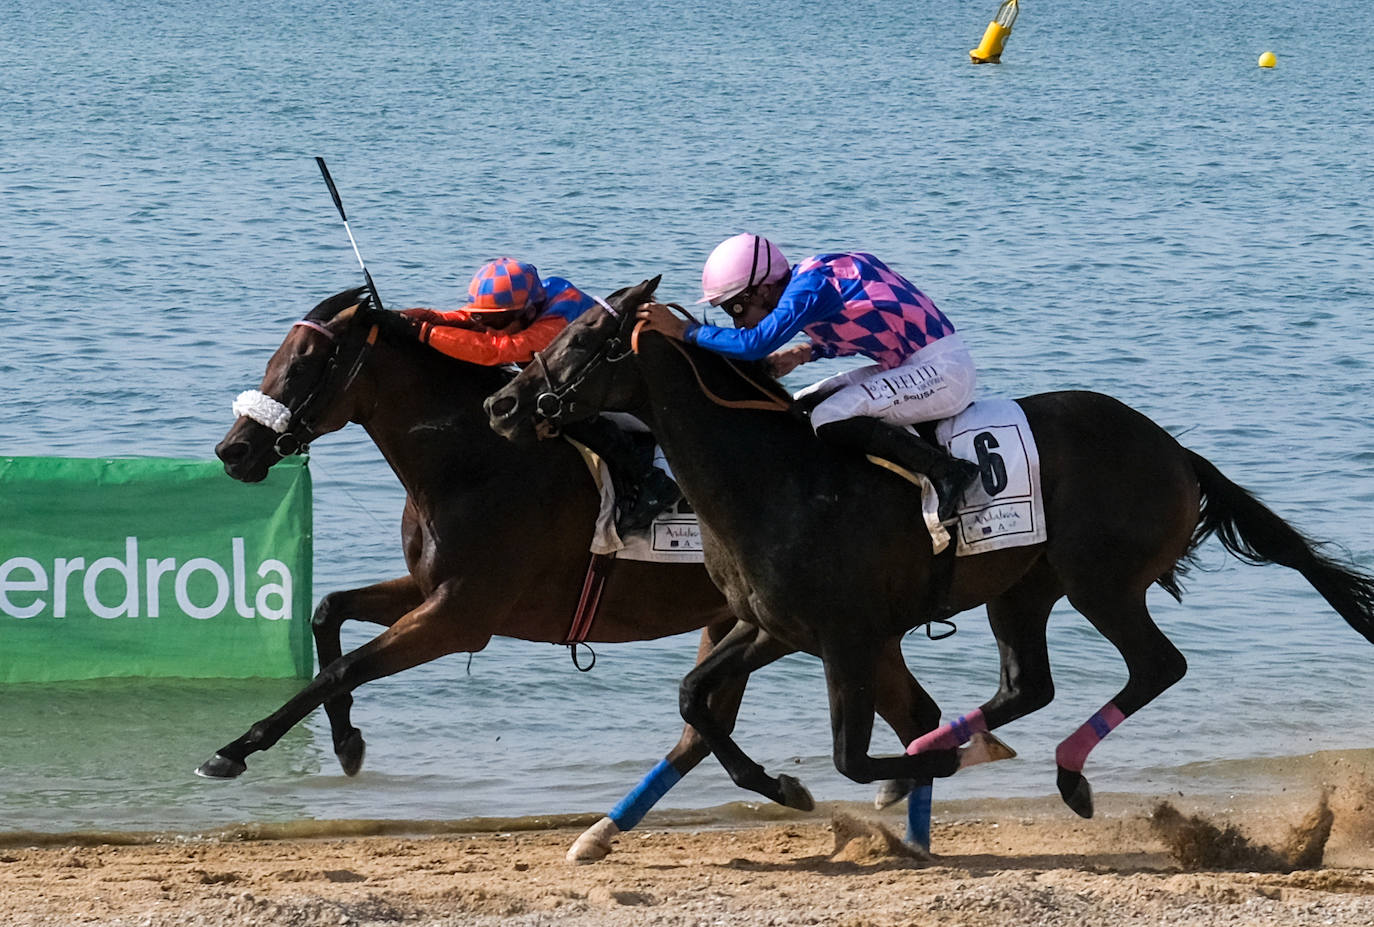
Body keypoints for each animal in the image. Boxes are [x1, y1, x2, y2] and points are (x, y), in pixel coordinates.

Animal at [200, 286, 962, 859]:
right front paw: (347, 741)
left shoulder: (459, 617)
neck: (474, 458)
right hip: (762, 621)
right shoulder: (430, 591)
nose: (233, 450)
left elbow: (339, 667)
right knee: (725, 724)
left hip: (832, 626)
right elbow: (327, 610)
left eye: (305, 360)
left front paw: (234, 750)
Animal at [486, 276, 1374, 819]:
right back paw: (970, 742)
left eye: (584, 337)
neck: (769, 475)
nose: (502, 404)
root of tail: (1176, 451)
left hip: (1102, 581)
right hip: (1023, 588)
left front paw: (900, 772)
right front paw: (779, 783)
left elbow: (848, 756)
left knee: (1157, 665)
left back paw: (1037, 765)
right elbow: (693, 696)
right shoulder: (774, 626)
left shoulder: (845, 637)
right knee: (1027, 683)